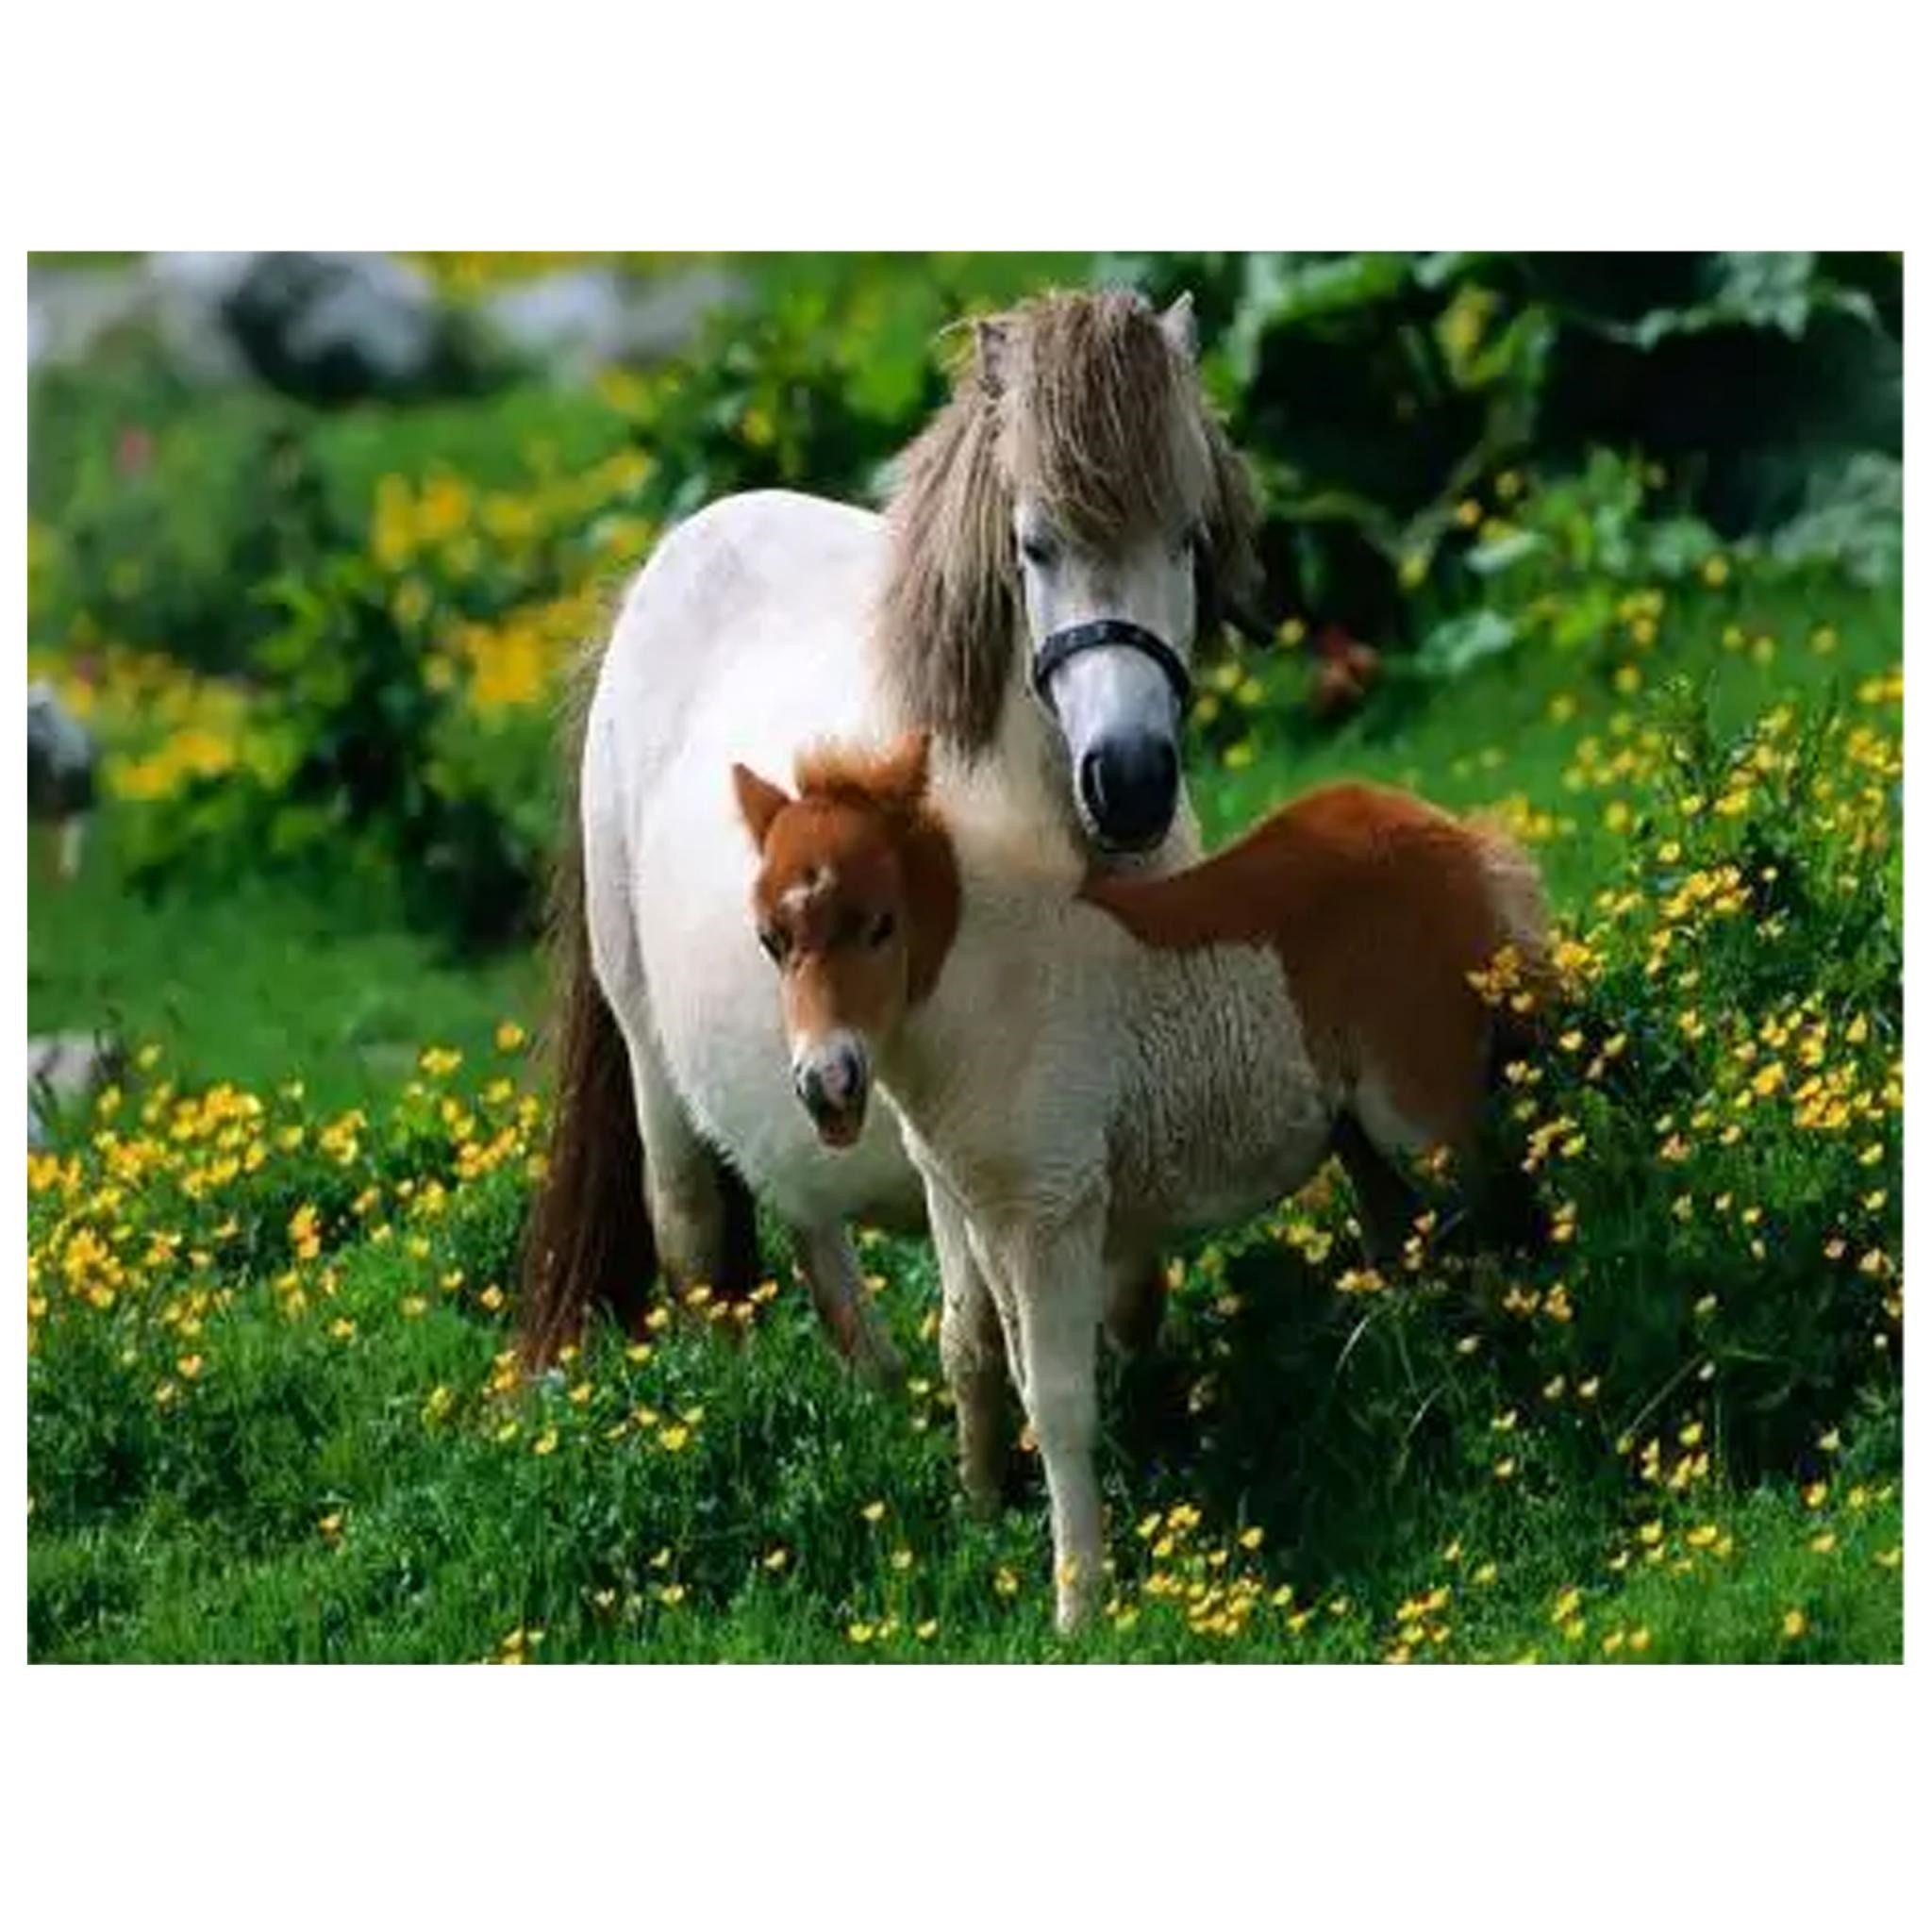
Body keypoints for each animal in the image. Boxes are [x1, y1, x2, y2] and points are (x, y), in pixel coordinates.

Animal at [518, 288, 1262, 1375]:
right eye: (1034, 544)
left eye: (1188, 537)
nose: (1127, 781)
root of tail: (662, 567)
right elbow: (982, 1333)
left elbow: (1128, 1294)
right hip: (655, 1069)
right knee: (694, 1234)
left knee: (807, 1223)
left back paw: (876, 1383)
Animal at [733, 731, 1549, 1631]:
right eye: (771, 940)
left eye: (880, 924)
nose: (828, 1086)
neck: (990, 1006)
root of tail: (1462, 837)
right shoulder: (988, 1219)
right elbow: (1006, 1369)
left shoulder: (1055, 1214)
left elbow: (1059, 1403)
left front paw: (1078, 1604)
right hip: (1360, 1136)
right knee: (1412, 1241)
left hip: (1421, 1116)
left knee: (1498, 1222)